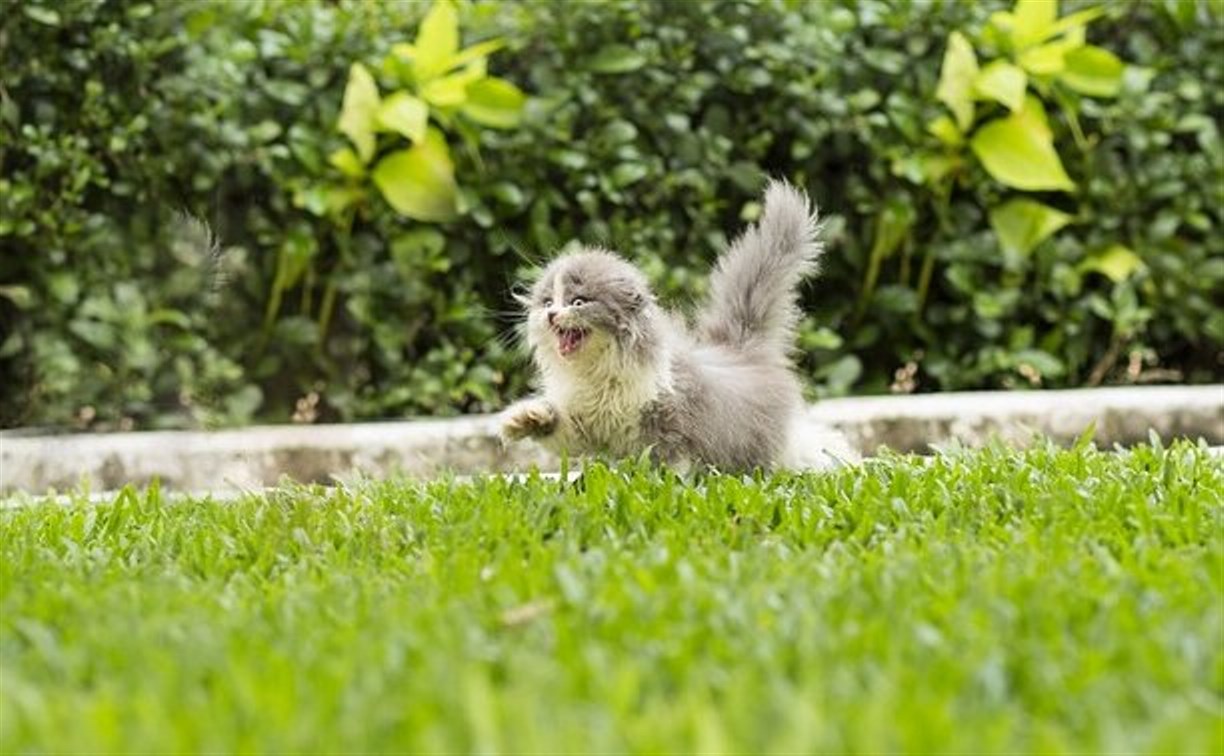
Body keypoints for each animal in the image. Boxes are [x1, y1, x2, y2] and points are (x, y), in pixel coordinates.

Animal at [496, 178, 851, 467]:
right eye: (547, 302)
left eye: (578, 302)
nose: (552, 314)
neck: (597, 373)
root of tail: (742, 345)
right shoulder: (586, 425)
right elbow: (560, 430)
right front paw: (524, 419)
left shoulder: (671, 424)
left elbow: (670, 465)